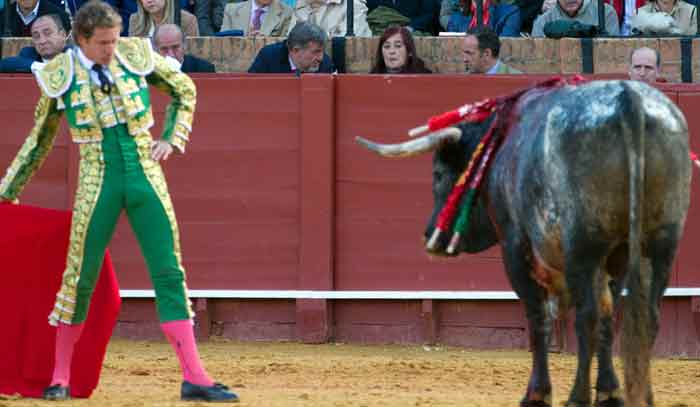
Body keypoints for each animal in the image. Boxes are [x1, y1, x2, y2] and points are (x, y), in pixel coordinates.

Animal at [358, 80, 692, 407]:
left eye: (438, 174)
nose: (429, 236)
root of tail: (628, 98)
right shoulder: (612, 258)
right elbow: (609, 317)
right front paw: (609, 392)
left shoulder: (515, 248)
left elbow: (537, 317)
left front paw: (537, 394)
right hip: (661, 245)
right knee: (644, 316)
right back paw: (642, 396)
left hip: (581, 247)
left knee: (586, 316)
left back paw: (577, 397)